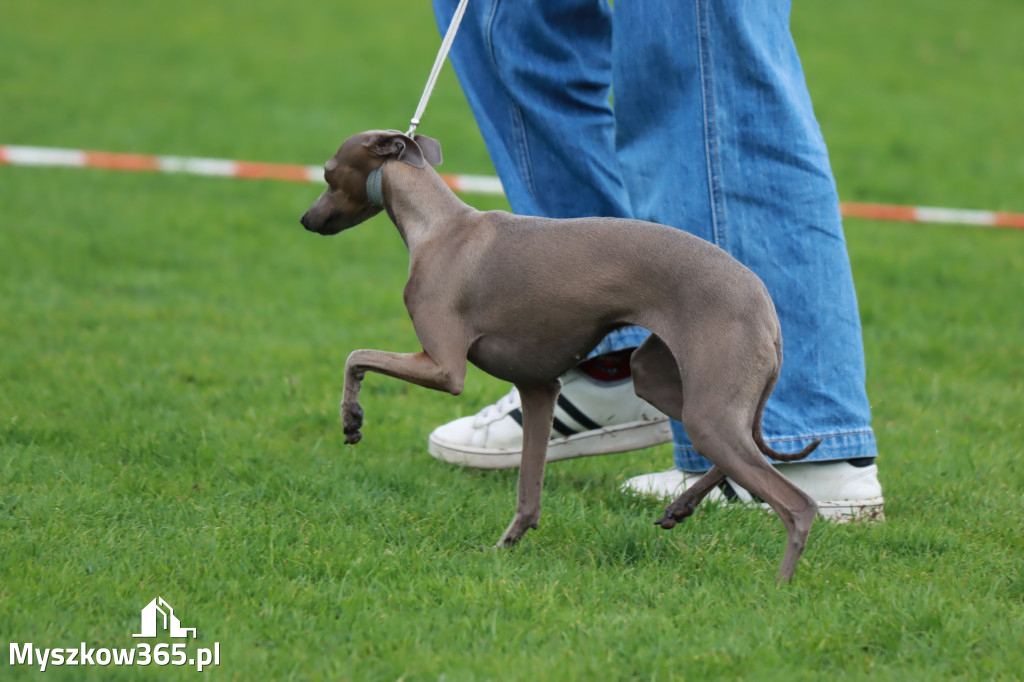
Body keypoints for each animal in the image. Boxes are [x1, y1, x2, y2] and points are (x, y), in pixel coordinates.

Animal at [299, 131, 819, 577]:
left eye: (327, 173)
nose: (305, 220)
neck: (440, 226)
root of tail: (766, 307)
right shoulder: (539, 387)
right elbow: (528, 492)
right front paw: (506, 545)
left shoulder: (444, 368)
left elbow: (355, 355)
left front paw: (351, 419)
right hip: (663, 380)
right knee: (749, 451)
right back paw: (681, 506)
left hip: (708, 407)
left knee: (797, 505)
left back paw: (779, 586)